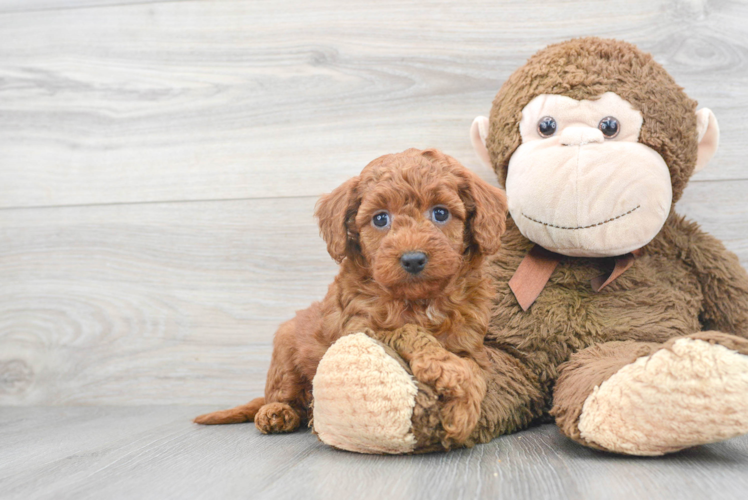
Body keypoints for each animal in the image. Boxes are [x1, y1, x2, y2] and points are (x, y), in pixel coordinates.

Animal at [193, 148, 508, 446]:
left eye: (440, 213)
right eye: (380, 218)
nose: (413, 259)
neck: (420, 301)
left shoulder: (469, 343)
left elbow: (475, 370)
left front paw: (463, 408)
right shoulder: (360, 328)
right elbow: (408, 330)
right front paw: (442, 366)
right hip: (285, 347)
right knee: (284, 393)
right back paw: (276, 412)